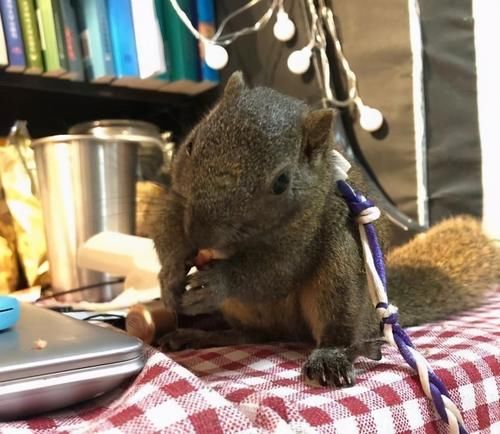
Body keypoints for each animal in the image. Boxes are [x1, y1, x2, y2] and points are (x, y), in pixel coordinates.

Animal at [152, 71, 500, 386]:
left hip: (340, 279)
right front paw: (170, 276)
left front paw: (217, 282)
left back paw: (335, 356)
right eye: (190, 146)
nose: (201, 235)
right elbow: (168, 228)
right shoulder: (176, 199)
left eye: (281, 182)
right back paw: (200, 334)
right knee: (253, 334)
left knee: (337, 331)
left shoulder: (303, 236)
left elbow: (272, 274)